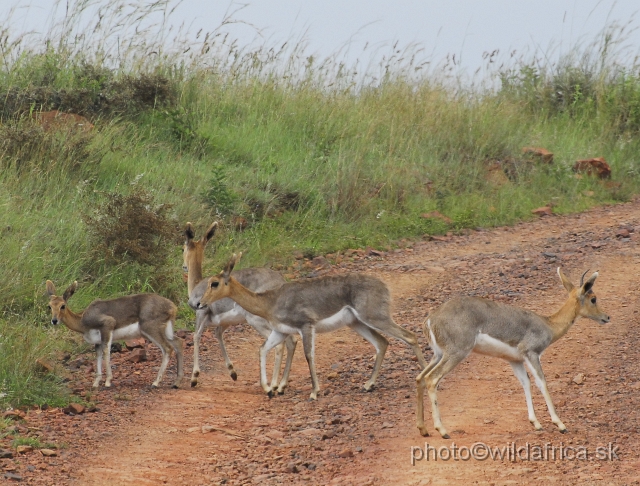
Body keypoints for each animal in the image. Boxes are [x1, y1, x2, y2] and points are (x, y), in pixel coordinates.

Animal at [45, 280, 184, 388]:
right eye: (49, 306)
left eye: (63, 306)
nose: (54, 320)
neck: (82, 321)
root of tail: (172, 307)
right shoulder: (97, 342)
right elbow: (98, 356)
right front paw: (96, 383)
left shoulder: (107, 326)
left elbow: (107, 352)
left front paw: (108, 381)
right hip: (166, 331)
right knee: (178, 343)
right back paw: (176, 382)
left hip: (150, 329)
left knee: (168, 348)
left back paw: (156, 382)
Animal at [182, 221, 296, 392]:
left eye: (183, 247)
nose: (184, 266)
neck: (196, 284)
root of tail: (281, 282)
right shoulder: (225, 322)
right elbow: (218, 335)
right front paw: (233, 373)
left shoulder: (201, 313)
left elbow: (196, 336)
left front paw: (194, 378)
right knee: (292, 342)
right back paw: (281, 385)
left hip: (258, 322)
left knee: (279, 345)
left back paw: (272, 386)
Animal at [198, 254, 428, 398]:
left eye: (214, 283)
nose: (200, 303)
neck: (270, 301)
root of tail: (384, 285)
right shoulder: (280, 331)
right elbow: (263, 350)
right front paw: (270, 389)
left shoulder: (306, 325)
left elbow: (309, 355)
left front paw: (313, 392)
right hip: (357, 323)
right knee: (382, 342)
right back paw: (368, 385)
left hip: (375, 317)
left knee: (410, 336)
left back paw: (425, 376)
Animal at [416, 268, 608, 438]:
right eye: (593, 299)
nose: (606, 317)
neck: (548, 324)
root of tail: (430, 319)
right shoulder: (531, 353)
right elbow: (542, 383)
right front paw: (560, 424)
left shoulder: (515, 360)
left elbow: (526, 383)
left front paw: (536, 423)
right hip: (456, 352)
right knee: (431, 379)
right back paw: (443, 431)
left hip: (438, 355)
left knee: (420, 378)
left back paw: (424, 429)